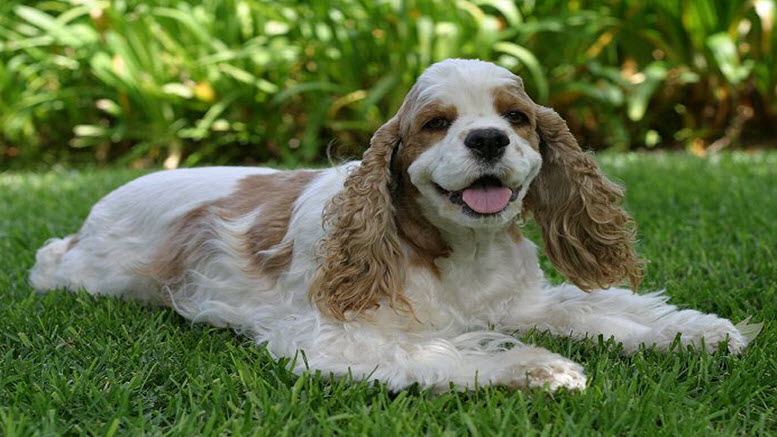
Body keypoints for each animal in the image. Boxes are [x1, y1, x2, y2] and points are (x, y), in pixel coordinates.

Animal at [30, 58, 752, 392]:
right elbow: (445, 352)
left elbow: (604, 311)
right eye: (435, 123)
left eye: (516, 117)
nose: (488, 138)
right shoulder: (335, 338)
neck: (459, 251)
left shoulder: (523, 302)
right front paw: (541, 369)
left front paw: (697, 333)